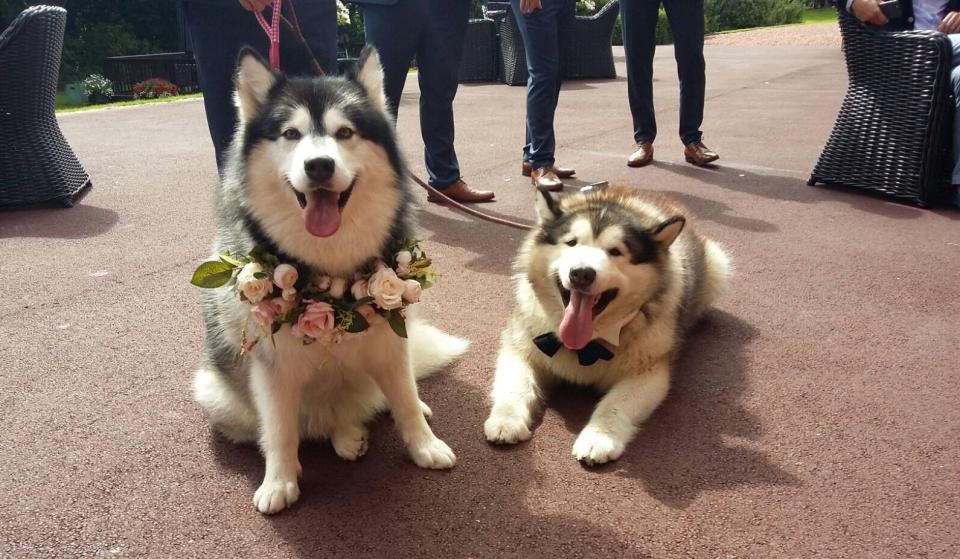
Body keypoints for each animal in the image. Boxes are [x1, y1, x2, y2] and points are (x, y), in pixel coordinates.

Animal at [192, 46, 468, 516]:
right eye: (290, 133)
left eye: (344, 132)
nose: (319, 165)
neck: (329, 274)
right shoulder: (273, 369)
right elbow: (280, 430)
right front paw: (279, 482)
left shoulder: (390, 344)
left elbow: (405, 400)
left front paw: (425, 446)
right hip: (214, 392)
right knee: (299, 426)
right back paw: (342, 437)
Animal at [484, 186, 732, 466]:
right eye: (572, 243)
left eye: (615, 251)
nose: (581, 273)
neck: (586, 346)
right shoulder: (522, 346)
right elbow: (515, 384)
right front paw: (506, 419)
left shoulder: (648, 372)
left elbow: (615, 404)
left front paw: (598, 437)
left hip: (719, 264)